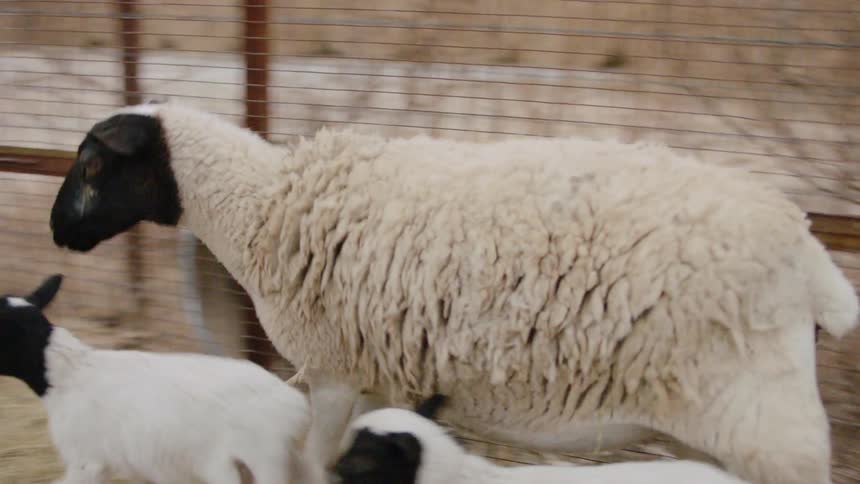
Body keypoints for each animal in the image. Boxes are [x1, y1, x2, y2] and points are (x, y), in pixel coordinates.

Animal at [48, 101, 860, 484]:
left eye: (93, 164)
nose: (58, 229)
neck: (263, 207)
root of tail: (812, 258)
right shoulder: (376, 378)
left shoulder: (336, 370)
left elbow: (312, 462)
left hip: (774, 429)